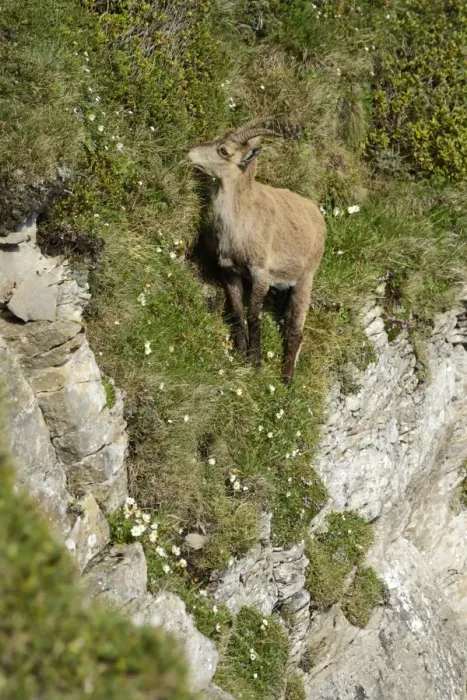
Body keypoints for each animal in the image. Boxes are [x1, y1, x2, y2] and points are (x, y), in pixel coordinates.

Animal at [188, 119, 326, 385]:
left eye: (224, 151)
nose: (189, 152)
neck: (241, 221)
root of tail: (319, 216)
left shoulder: (261, 273)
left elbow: (254, 315)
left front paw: (255, 360)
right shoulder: (229, 271)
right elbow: (237, 311)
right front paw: (240, 352)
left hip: (306, 277)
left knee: (297, 329)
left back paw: (286, 378)